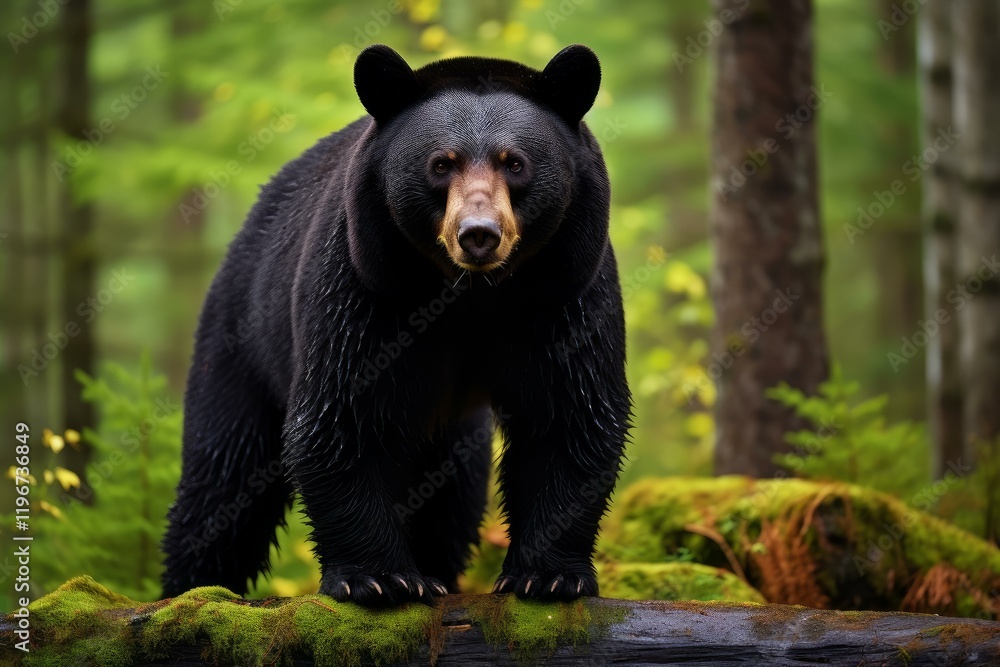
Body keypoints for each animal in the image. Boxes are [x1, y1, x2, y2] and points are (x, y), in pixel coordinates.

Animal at [160, 43, 630, 607]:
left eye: (515, 162)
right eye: (441, 163)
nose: (478, 234)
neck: (471, 294)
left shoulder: (567, 289)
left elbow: (568, 413)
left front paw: (549, 576)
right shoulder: (366, 286)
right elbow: (342, 416)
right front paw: (380, 578)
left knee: (451, 500)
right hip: (242, 336)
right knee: (225, 475)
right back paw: (190, 586)